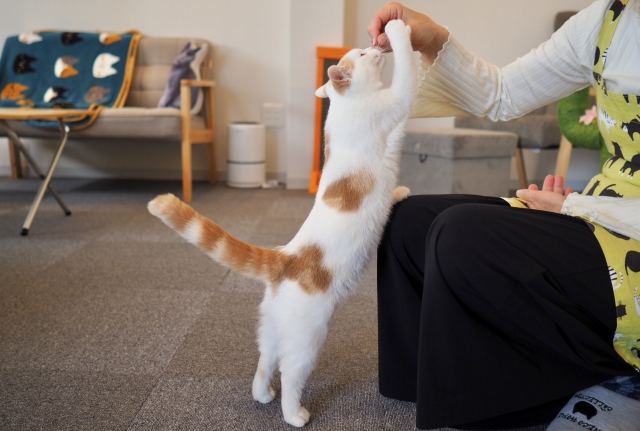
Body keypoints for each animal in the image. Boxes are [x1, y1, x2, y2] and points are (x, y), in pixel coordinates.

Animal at [148, 19, 416, 426]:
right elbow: (408, 75)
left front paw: (398, 191)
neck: (348, 104)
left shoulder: (394, 125)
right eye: (364, 54)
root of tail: (283, 258)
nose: (375, 46)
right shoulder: (396, 102)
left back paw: (262, 395)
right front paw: (401, 31)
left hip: (274, 328)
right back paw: (295, 414)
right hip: (308, 337)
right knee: (290, 372)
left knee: (264, 362)